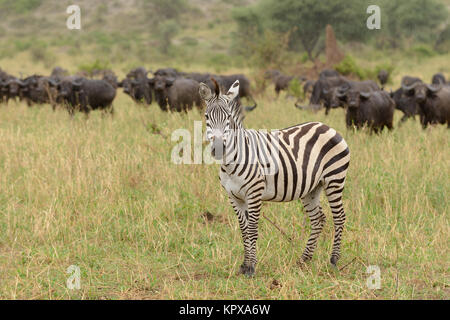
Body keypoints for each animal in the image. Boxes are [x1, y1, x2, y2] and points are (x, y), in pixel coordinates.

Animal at [200, 79, 352, 276]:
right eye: (206, 116)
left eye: (227, 118)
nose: (218, 148)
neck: (233, 160)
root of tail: (327, 127)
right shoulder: (234, 197)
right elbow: (243, 230)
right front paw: (244, 265)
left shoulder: (254, 193)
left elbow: (252, 229)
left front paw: (251, 267)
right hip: (312, 188)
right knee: (318, 219)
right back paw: (304, 259)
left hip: (334, 179)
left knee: (339, 217)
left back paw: (333, 260)